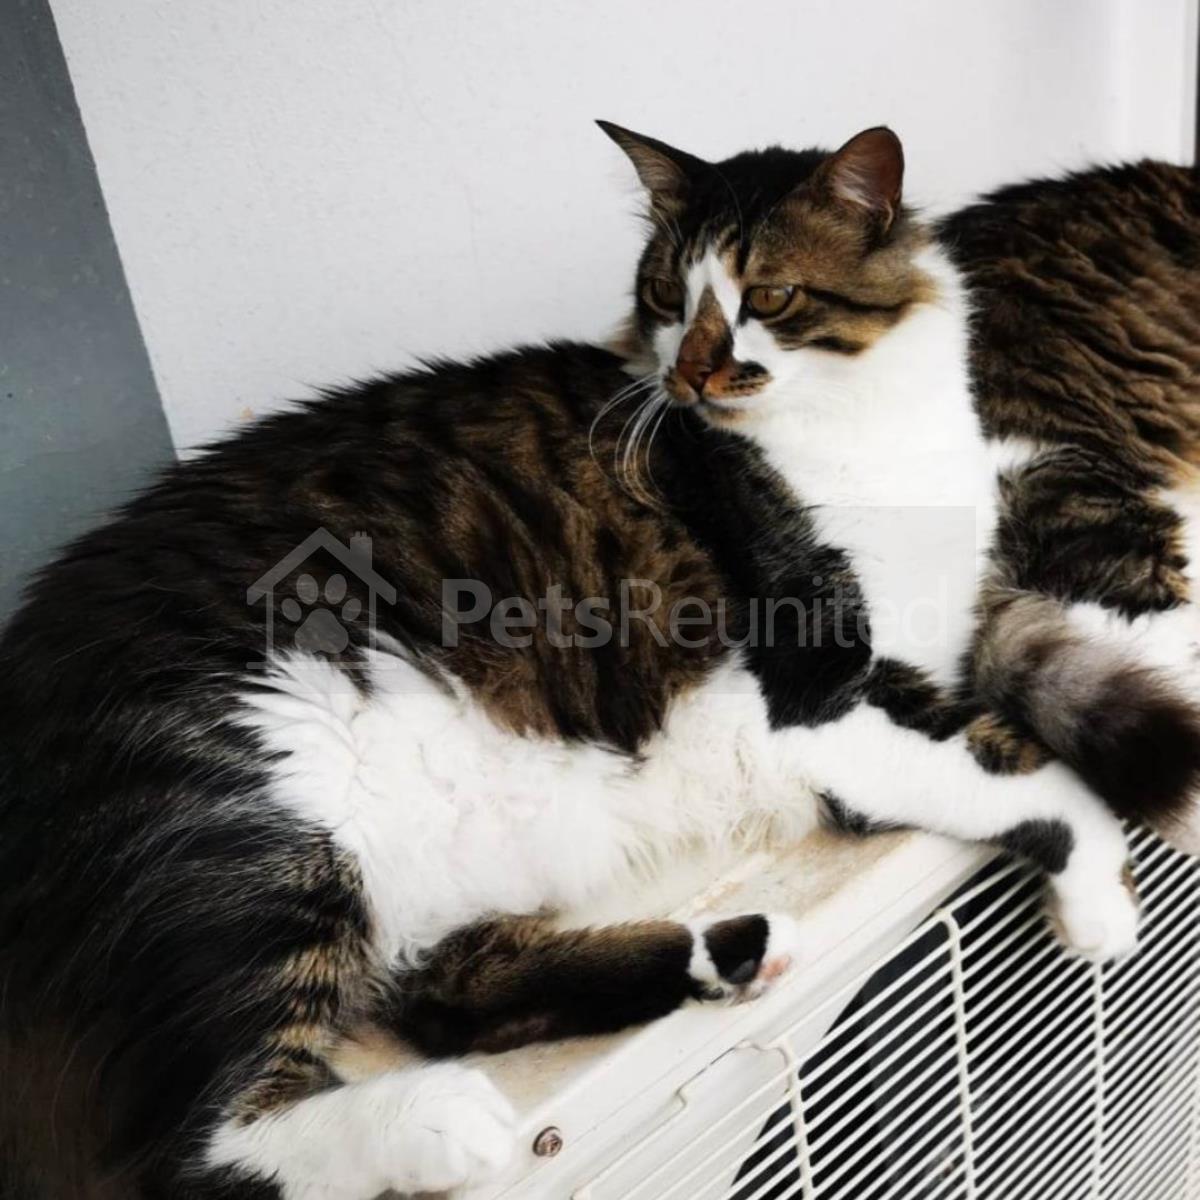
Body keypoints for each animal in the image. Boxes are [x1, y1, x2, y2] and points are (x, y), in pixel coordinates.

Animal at [3, 121, 1200, 1200]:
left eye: (767, 298)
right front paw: (1105, 905)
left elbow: (1030, 728)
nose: (694, 374)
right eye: (668, 296)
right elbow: (1041, 781)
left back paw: (728, 953)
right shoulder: (824, 704)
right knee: (199, 1143)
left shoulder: (933, 658)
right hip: (269, 805)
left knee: (449, 994)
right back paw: (446, 1125)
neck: (865, 437)